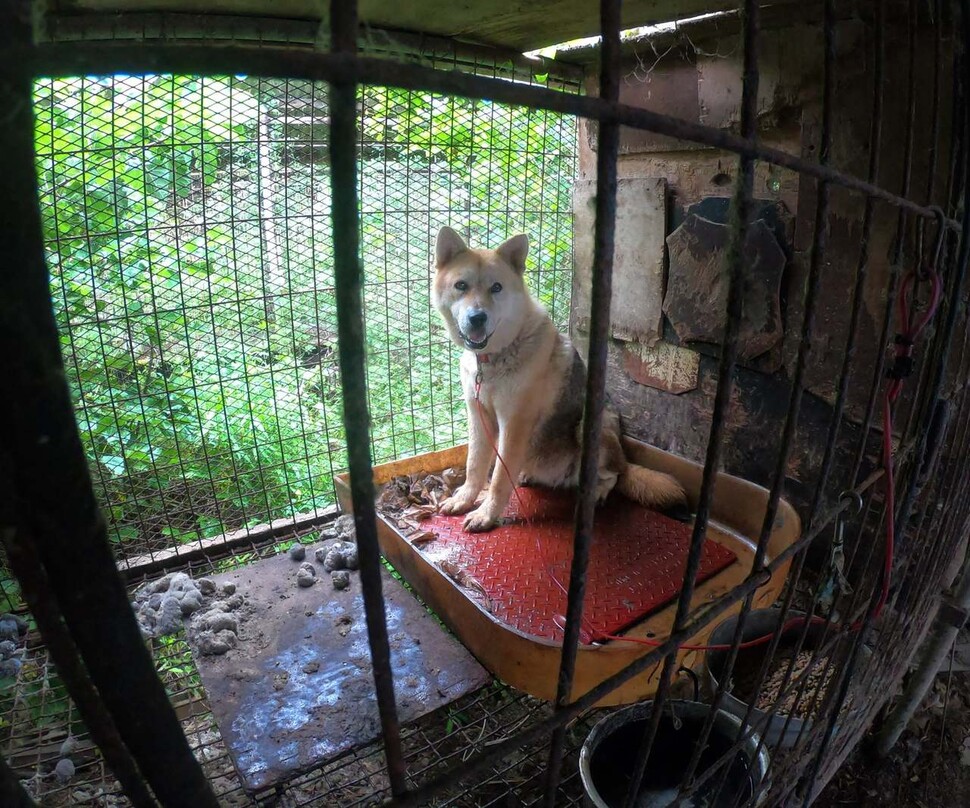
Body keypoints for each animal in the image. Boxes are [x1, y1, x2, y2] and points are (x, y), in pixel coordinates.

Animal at [428, 224, 684, 532]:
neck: (494, 358)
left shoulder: (513, 425)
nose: (477, 317)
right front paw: (465, 499)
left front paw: (486, 515)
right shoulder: (479, 419)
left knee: (612, 477)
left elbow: (500, 478)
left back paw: (594, 495)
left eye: (496, 288)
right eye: (461, 286)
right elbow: (474, 465)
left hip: (589, 429)